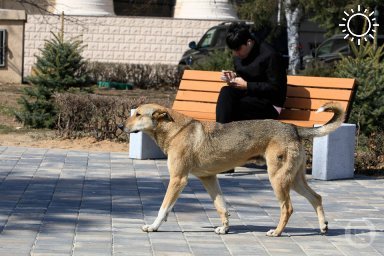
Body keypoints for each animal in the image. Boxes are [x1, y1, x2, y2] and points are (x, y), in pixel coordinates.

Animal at [121, 101, 344, 236]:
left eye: (138, 114)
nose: (120, 127)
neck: (176, 130)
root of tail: (293, 128)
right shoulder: (209, 178)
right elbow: (221, 206)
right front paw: (225, 228)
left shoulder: (178, 179)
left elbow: (163, 208)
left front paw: (153, 226)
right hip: (295, 179)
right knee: (316, 197)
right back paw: (323, 227)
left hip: (278, 179)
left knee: (287, 208)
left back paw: (277, 232)